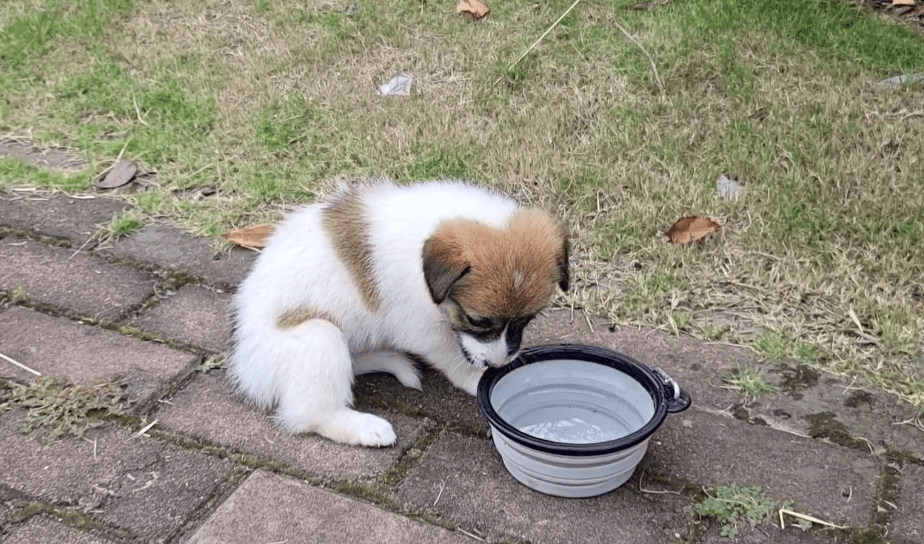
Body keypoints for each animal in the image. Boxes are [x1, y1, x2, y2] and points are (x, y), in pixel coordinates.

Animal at [227, 178, 568, 446]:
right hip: (318, 336)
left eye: (528, 319)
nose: (499, 364)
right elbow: (454, 358)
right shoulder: (423, 328)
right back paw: (364, 428)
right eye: (477, 321)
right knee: (309, 415)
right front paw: (477, 380)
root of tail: (247, 368)